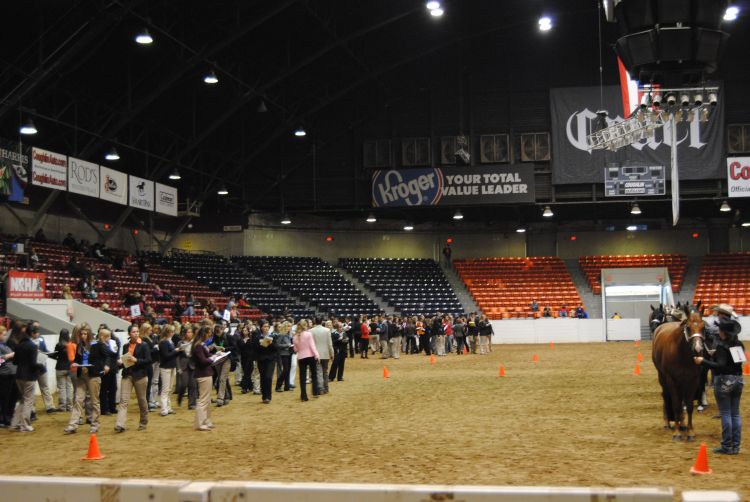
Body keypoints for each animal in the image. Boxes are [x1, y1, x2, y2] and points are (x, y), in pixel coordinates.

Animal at [652, 302, 704, 440]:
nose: (698, 350)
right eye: (688, 327)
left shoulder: (693, 380)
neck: (682, 354)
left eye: (704, 327)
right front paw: (676, 433)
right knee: (666, 396)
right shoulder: (671, 379)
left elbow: (689, 406)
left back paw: (682, 423)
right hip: (662, 377)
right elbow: (675, 405)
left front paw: (690, 431)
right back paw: (667, 422)